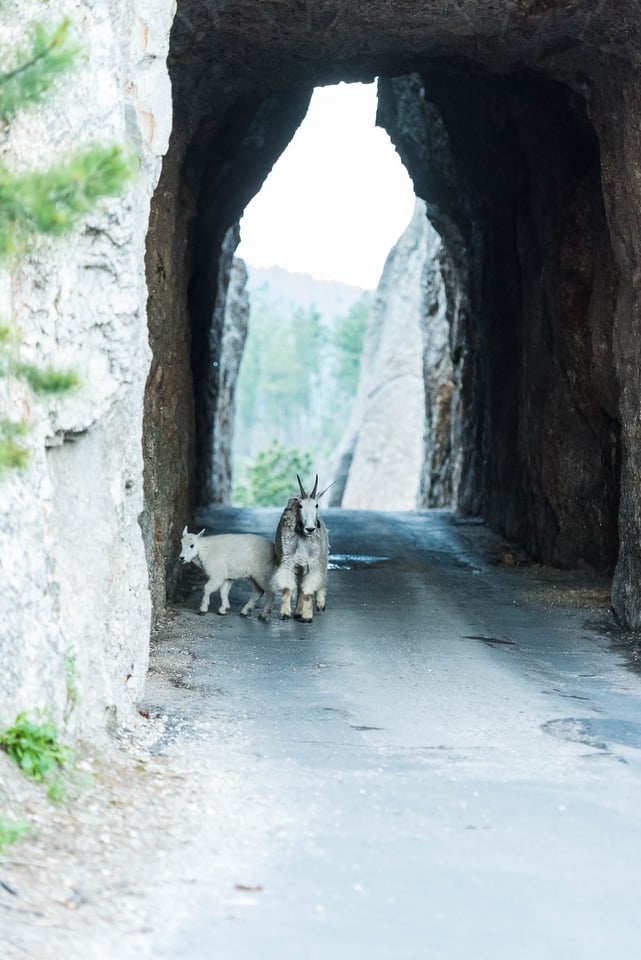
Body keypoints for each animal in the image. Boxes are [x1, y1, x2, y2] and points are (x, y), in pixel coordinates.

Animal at [270, 474, 330, 624]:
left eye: (316, 505)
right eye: (301, 506)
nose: (310, 529)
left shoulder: (312, 563)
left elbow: (308, 591)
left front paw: (308, 616)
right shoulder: (288, 560)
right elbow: (288, 587)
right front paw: (285, 613)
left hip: (323, 557)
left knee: (321, 579)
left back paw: (320, 604)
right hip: (300, 565)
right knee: (299, 586)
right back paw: (298, 611)